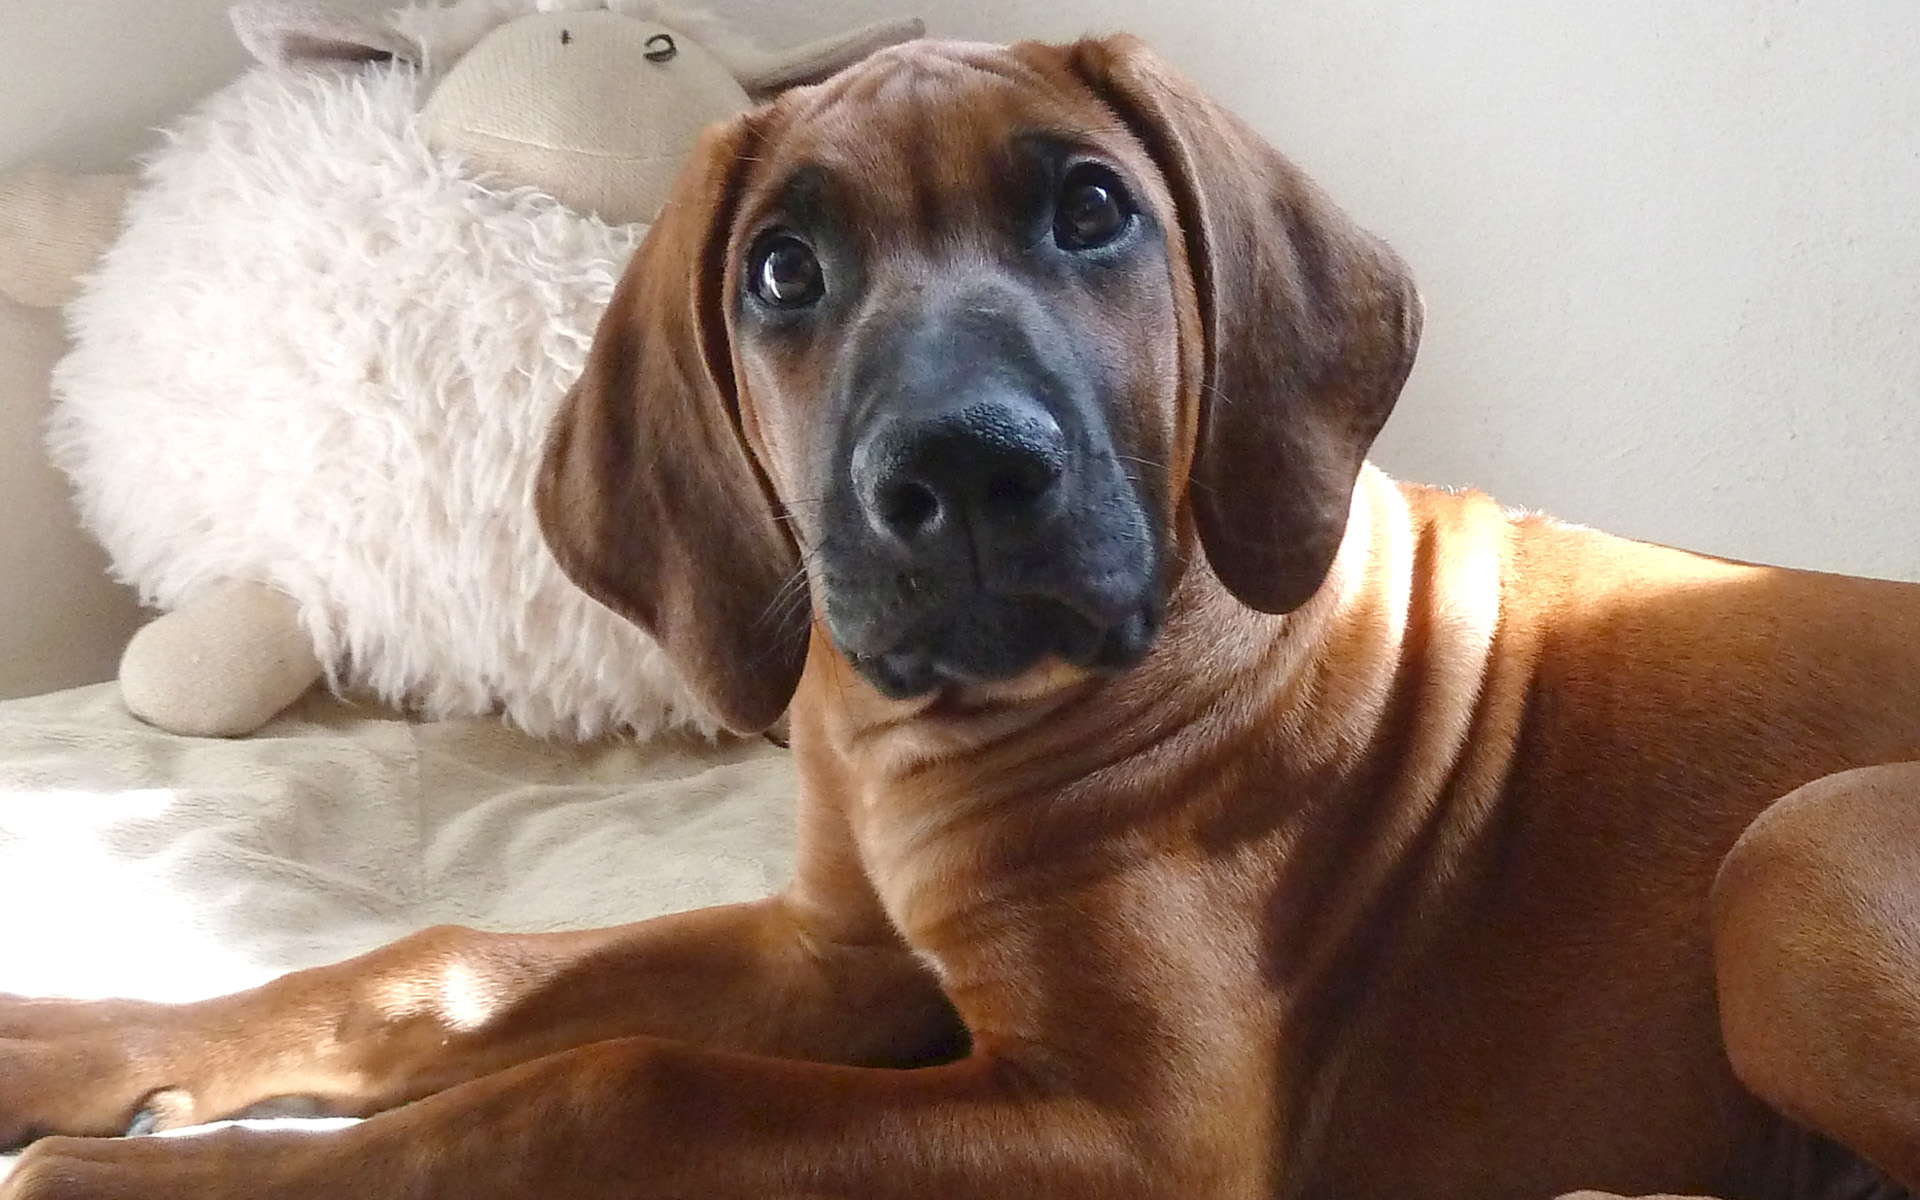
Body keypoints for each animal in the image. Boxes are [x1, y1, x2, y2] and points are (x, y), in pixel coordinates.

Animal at [5, 32, 1920, 1200]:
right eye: (781, 269)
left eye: (1092, 211)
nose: (967, 472)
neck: (946, 735)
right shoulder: (838, 956)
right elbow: (445, 964)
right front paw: (87, 1051)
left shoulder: (1137, 1127)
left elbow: (613, 1083)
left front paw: (169, 1174)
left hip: (1796, 859)